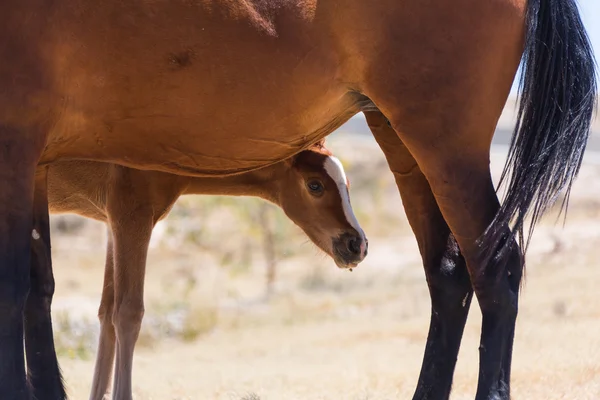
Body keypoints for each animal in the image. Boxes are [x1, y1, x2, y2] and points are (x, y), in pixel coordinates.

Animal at [45, 141, 366, 400]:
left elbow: (106, 313)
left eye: (347, 184)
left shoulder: (112, 225)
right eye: (315, 185)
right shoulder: (131, 217)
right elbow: (127, 314)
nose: (357, 244)